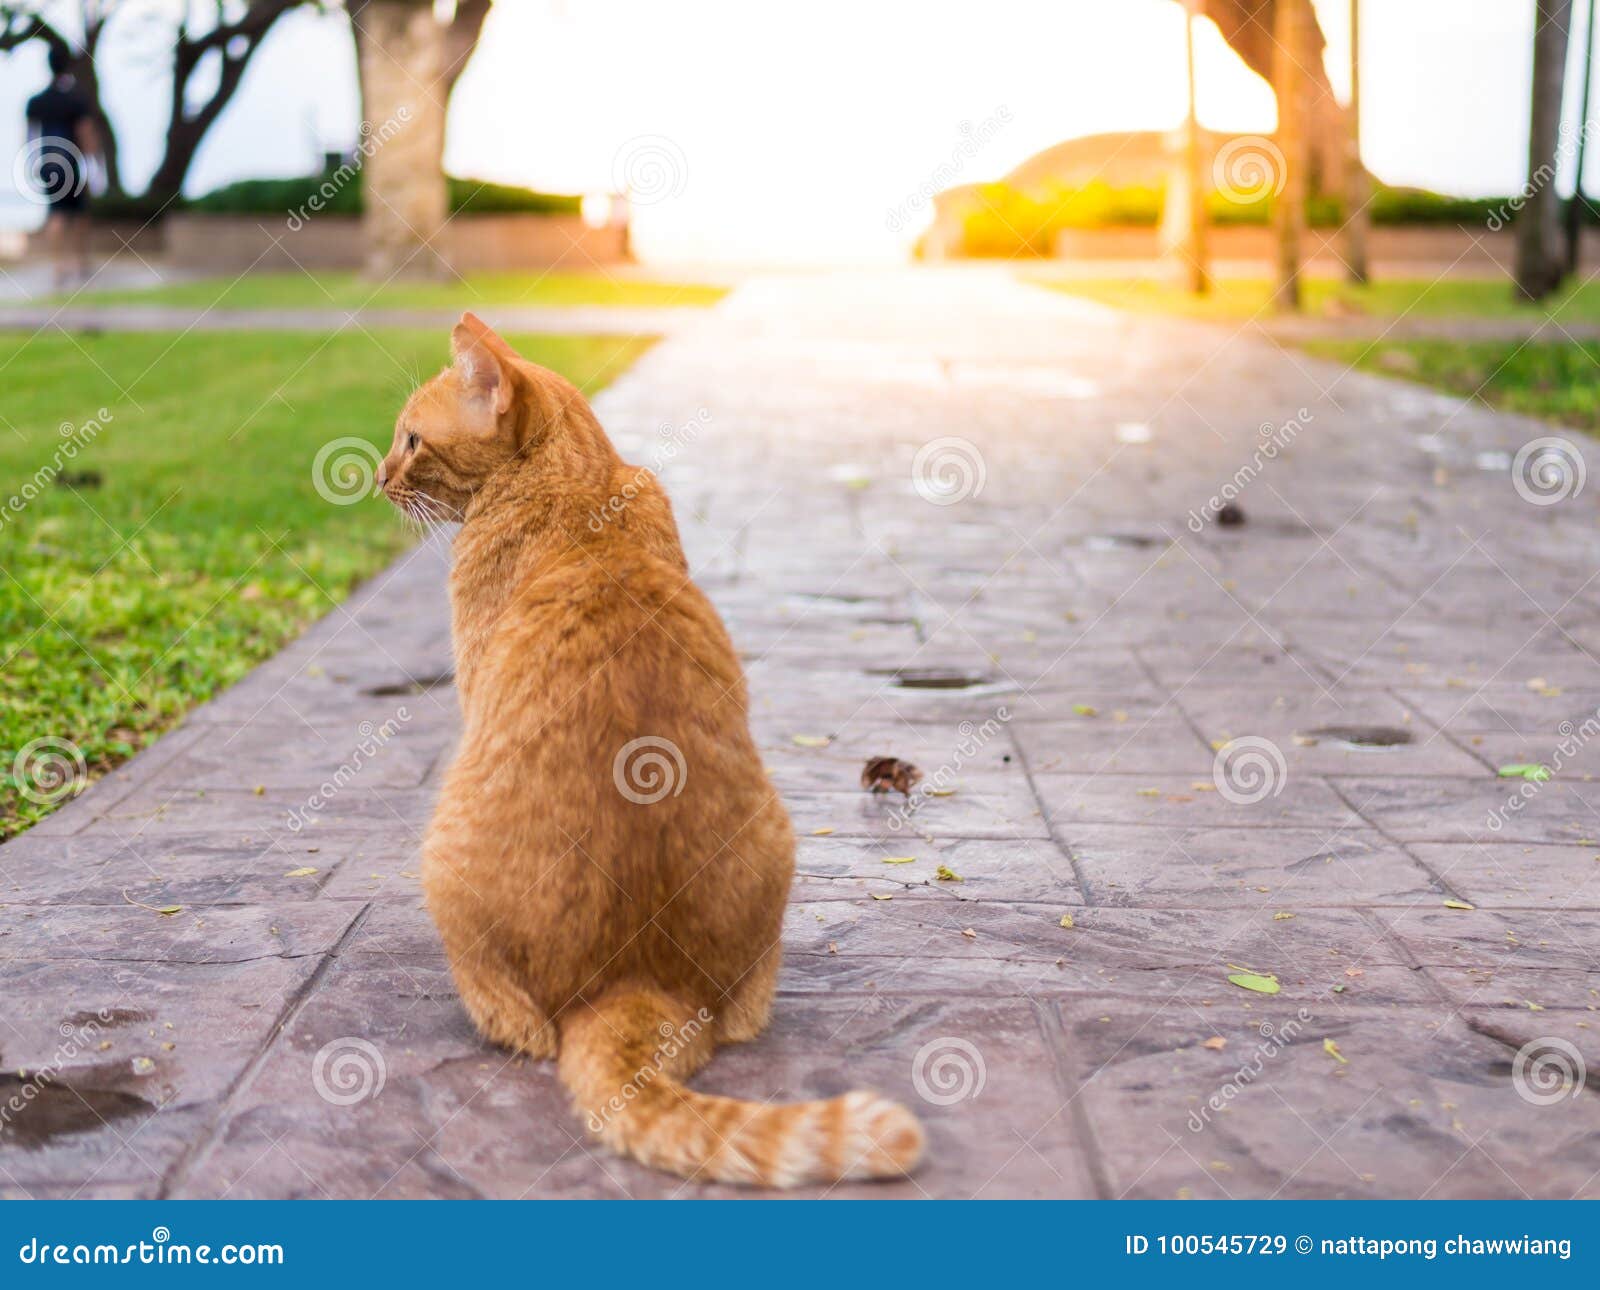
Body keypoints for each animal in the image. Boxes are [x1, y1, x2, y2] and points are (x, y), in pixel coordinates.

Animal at [377, 318, 928, 1184]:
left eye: (411, 440)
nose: (376, 476)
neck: (579, 483)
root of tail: (632, 984)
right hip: (776, 848)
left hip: (441, 858)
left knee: (523, 1029)